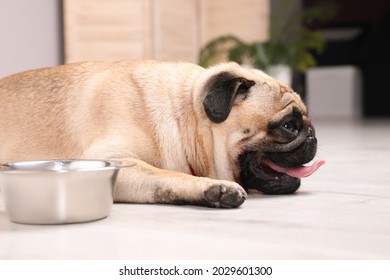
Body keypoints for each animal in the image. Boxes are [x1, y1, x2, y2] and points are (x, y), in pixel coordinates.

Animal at [0, 59, 322, 208]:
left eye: (306, 122)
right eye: (289, 125)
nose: (312, 136)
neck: (183, 115)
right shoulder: (114, 161)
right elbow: (167, 176)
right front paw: (212, 188)